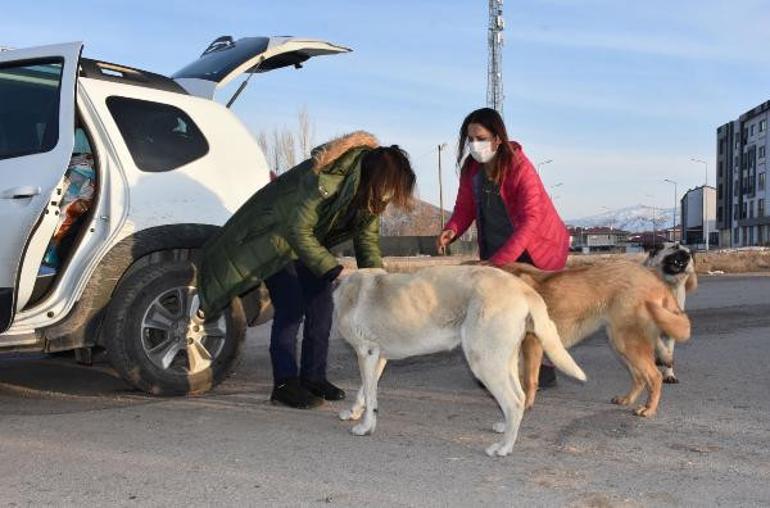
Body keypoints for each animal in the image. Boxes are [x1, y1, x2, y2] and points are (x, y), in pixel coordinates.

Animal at [330, 266, 584, 456]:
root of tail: (522, 288)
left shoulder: (365, 352)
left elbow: (370, 392)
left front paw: (365, 427)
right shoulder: (378, 356)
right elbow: (365, 390)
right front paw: (354, 412)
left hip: (483, 360)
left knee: (512, 401)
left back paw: (503, 447)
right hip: (503, 358)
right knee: (519, 397)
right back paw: (505, 428)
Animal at [500, 260, 688, 418]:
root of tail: (657, 281)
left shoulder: (531, 343)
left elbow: (528, 380)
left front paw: (526, 405)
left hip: (627, 343)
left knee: (655, 376)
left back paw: (649, 409)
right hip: (620, 344)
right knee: (640, 378)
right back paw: (627, 399)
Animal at [640, 241, 696, 380]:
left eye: (690, 253)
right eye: (675, 247)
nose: (688, 255)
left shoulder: (672, 325)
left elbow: (669, 348)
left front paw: (669, 374)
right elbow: (658, 343)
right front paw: (663, 358)